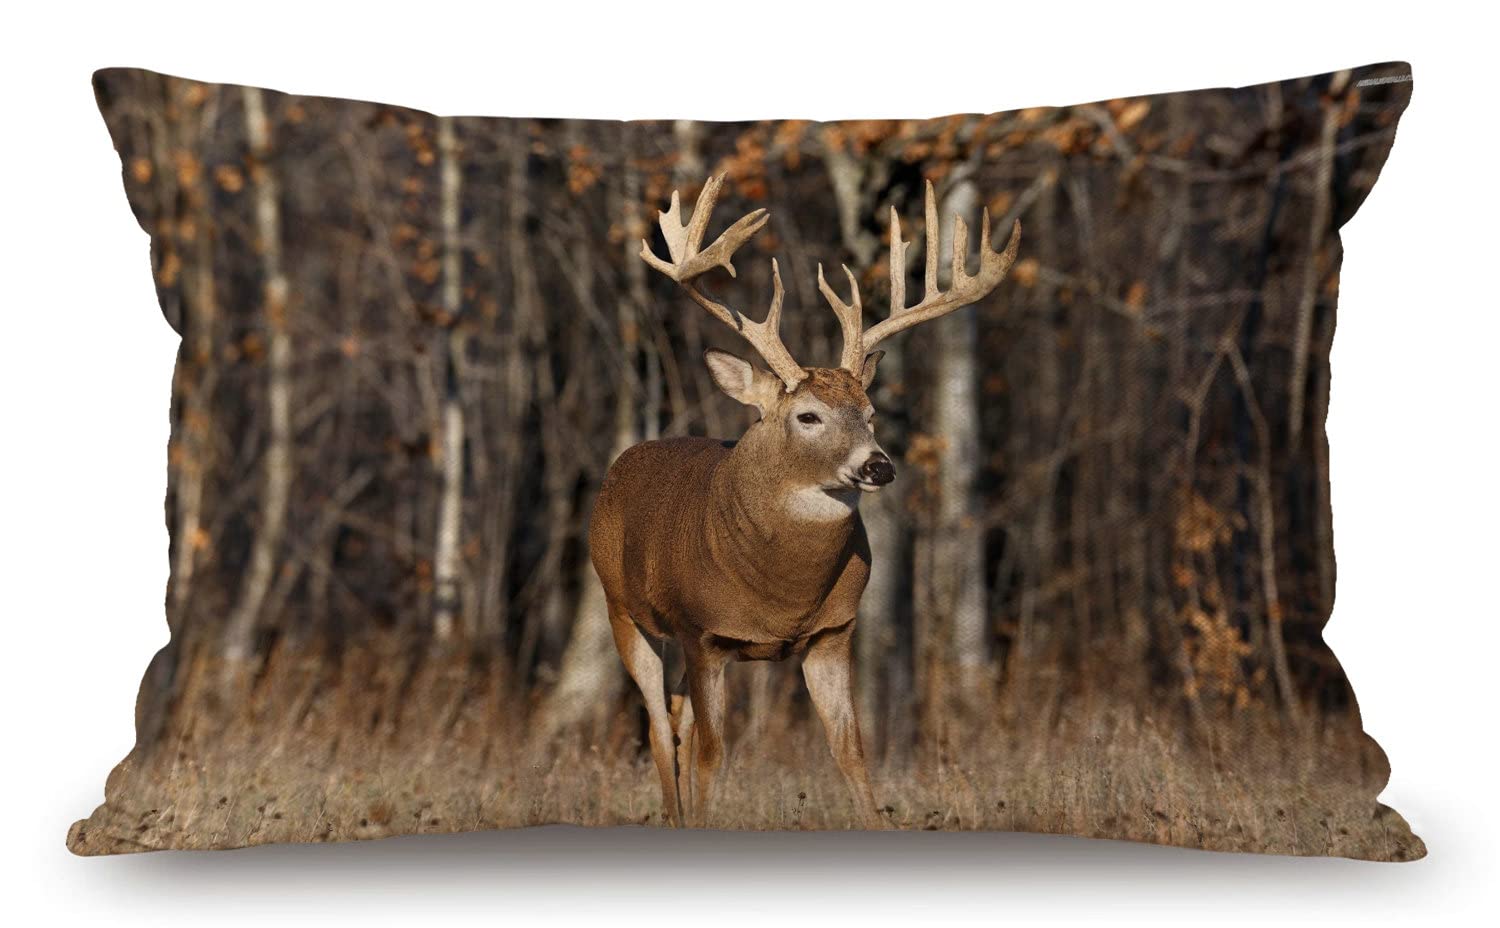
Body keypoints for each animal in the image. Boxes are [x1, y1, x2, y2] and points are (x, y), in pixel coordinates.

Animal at [588, 174, 1020, 828]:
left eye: (870, 412)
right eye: (808, 416)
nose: (879, 465)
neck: (782, 594)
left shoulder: (833, 633)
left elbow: (851, 752)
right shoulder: (702, 632)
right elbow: (714, 754)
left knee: (676, 717)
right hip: (622, 609)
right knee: (661, 728)